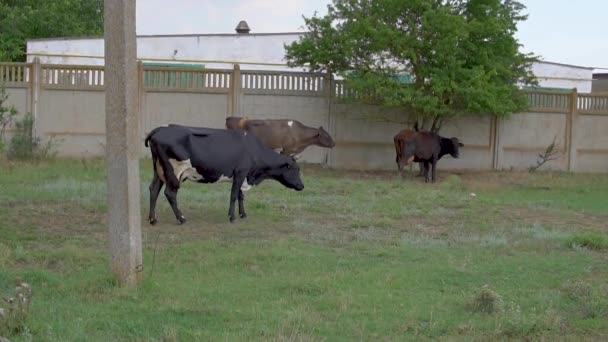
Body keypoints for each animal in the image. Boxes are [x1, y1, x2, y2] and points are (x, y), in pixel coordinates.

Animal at [143, 124, 304, 223]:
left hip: (158, 170)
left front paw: (243, 214)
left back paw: (153, 219)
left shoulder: (241, 175)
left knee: (153, 189)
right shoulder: (240, 172)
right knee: (170, 193)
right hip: (173, 172)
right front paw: (232, 217)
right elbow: (234, 195)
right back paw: (181, 218)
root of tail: (160, 129)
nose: (302, 186)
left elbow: (240, 195)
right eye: (296, 169)